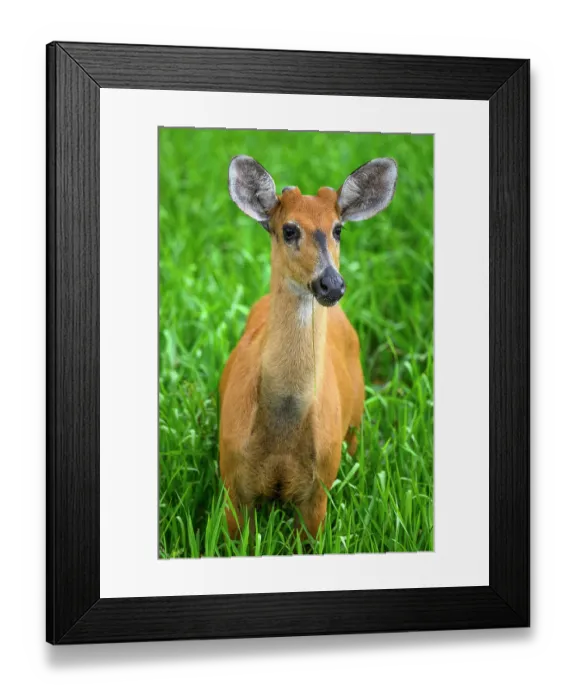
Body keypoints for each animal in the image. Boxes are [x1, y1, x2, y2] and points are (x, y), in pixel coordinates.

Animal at [218, 154, 398, 540]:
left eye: (338, 229)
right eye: (289, 229)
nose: (331, 284)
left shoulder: (319, 491)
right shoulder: (233, 483)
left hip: (355, 423)